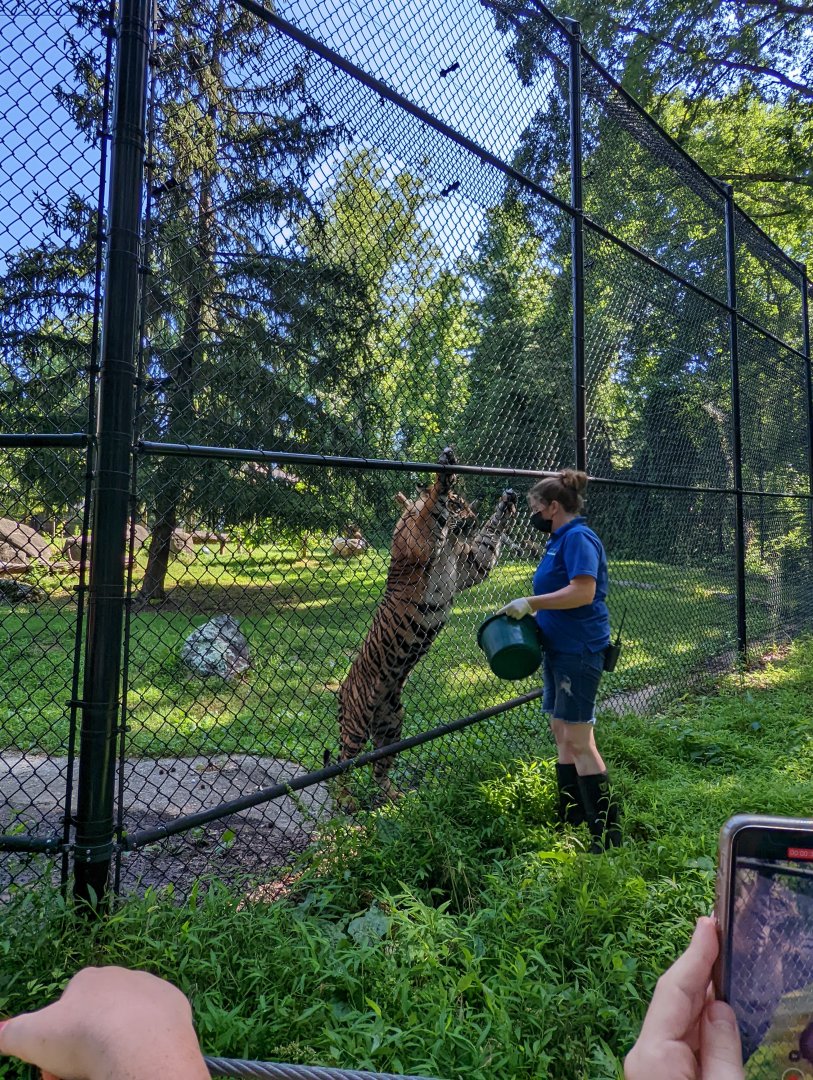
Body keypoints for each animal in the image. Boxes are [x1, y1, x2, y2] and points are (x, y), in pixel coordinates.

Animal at [335, 447, 517, 808]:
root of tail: (342, 692)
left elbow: (488, 539)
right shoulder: (420, 540)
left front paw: (506, 503)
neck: (452, 541)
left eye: (468, 506)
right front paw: (442, 475)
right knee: (338, 763)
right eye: (458, 505)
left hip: (391, 725)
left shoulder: (473, 567)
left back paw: (394, 796)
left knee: (379, 767)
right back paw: (345, 800)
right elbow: (432, 509)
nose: (471, 517)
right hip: (357, 723)